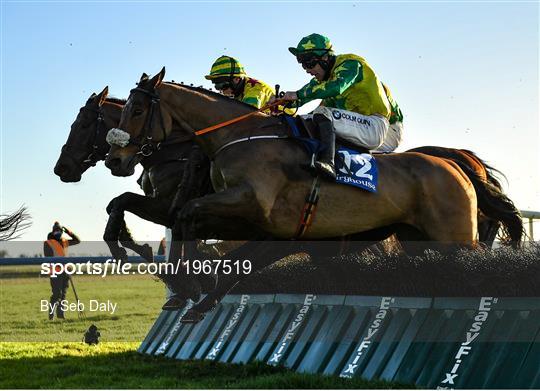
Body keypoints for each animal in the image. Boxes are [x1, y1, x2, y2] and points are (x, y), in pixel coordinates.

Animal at [103, 69, 520, 322]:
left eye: (136, 110)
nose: (115, 159)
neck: (238, 137)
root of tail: (454, 164)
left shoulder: (252, 203)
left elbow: (186, 215)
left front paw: (188, 283)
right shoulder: (254, 222)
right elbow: (151, 213)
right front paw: (139, 254)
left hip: (453, 237)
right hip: (418, 239)